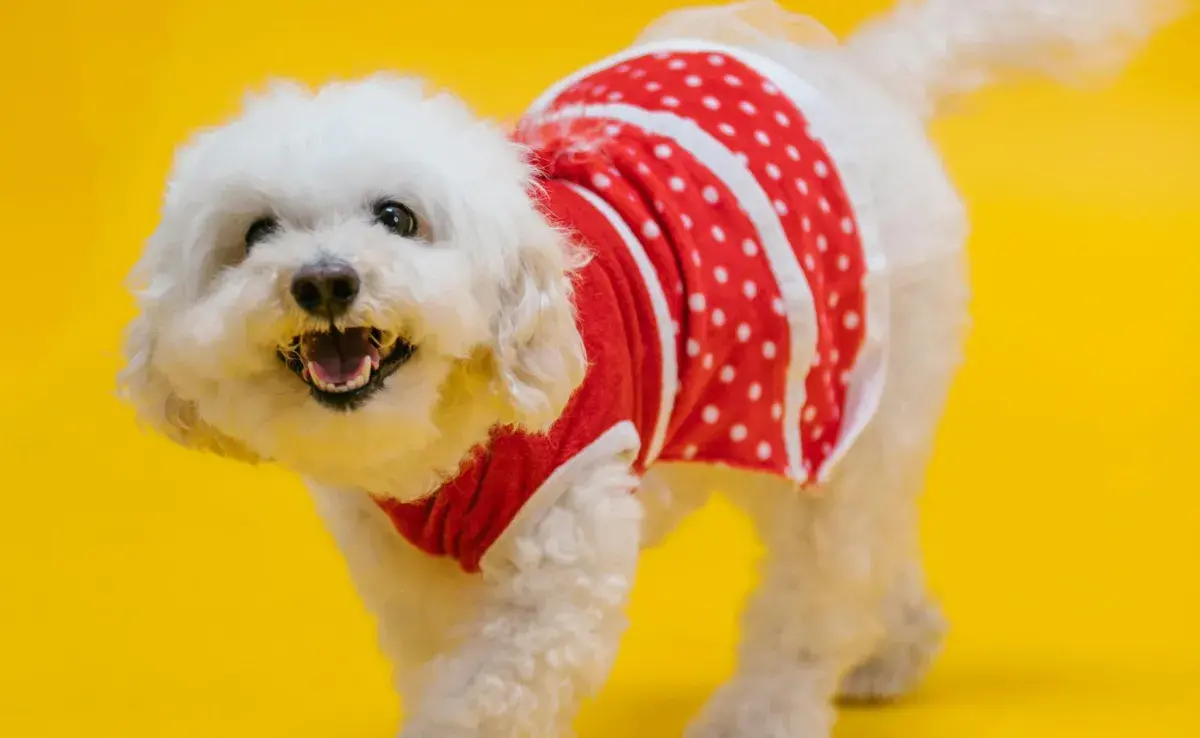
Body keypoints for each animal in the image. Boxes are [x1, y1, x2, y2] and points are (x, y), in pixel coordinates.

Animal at [121, 1, 1180, 738]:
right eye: (256, 234)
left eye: (397, 216)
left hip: (836, 407)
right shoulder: (414, 583)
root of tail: (864, 81)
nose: (324, 281)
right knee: (875, 547)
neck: (449, 442)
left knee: (818, 586)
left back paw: (765, 711)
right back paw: (895, 648)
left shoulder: (557, 567)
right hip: (780, 421)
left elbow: (487, 697)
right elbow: (442, 670)